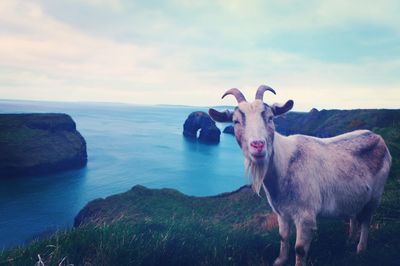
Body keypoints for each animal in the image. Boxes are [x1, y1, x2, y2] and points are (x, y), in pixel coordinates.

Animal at [209, 85, 390, 266]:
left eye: (270, 117)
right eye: (235, 121)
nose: (258, 145)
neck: (284, 165)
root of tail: (378, 138)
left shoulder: (306, 216)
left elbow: (300, 249)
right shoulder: (281, 212)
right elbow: (283, 237)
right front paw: (279, 261)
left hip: (375, 195)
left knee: (366, 220)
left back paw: (360, 249)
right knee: (354, 214)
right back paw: (350, 240)